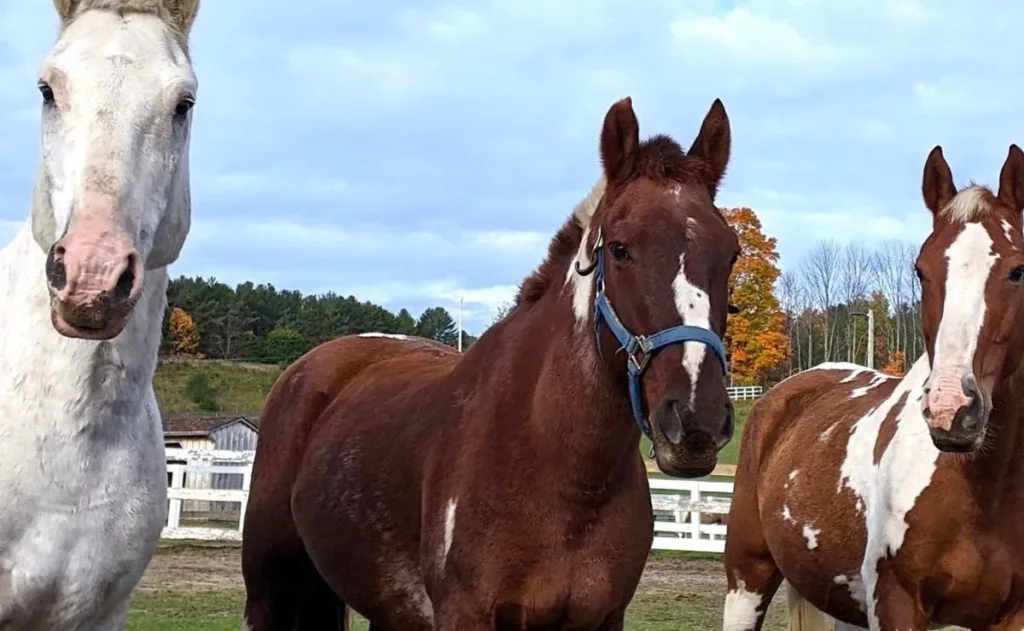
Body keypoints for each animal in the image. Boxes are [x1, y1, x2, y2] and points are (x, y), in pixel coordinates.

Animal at [242, 94, 745, 631]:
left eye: (732, 253)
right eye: (620, 249)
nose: (695, 420)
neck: (562, 475)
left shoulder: (606, 618)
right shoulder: (465, 614)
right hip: (269, 591)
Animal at [720, 143, 1024, 631]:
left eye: (1018, 271)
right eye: (921, 270)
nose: (951, 409)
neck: (982, 493)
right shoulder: (894, 602)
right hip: (748, 576)